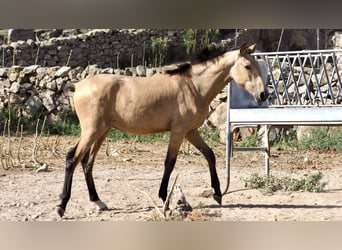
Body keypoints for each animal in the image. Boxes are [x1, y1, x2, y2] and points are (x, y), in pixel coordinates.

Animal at [55, 43, 268, 217]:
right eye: (247, 66)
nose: (263, 95)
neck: (193, 86)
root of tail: (78, 86)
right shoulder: (179, 131)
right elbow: (169, 163)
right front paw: (164, 198)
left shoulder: (191, 132)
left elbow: (210, 155)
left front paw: (217, 194)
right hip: (92, 131)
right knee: (72, 158)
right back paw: (61, 206)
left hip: (102, 131)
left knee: (87, 163)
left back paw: (98, 202)